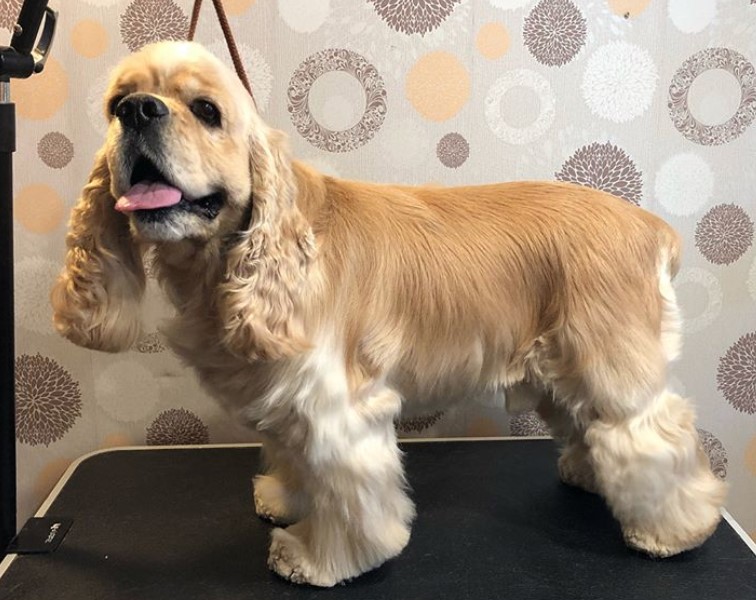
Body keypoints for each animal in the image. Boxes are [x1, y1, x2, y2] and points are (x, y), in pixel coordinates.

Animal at [51, 43, 728, 584]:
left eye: (207, 110)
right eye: (116, 104)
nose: (140, 111)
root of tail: (652, 227)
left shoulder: (336, 408)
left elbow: (347, 496)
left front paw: (317, 559)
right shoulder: (287, 401)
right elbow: (296, 463)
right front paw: (286, 499)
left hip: (608, 361)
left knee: (656, 432)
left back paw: (675, 531)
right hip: (559, 368)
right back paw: (590, 475)